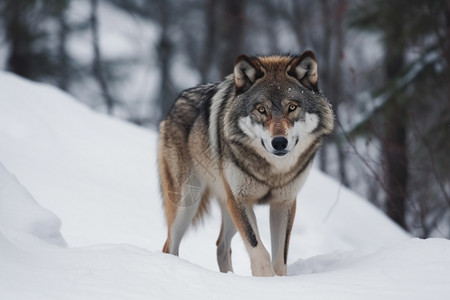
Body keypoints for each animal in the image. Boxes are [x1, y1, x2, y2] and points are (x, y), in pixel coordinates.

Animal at [158, 49, 334, 276]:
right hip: (189, 202)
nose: (279, 142)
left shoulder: (283, 203)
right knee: (169, 245)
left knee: (221, 246)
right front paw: (266, 279)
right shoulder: (240, 200)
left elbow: (280, 258)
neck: (273, 172)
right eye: (261, 110)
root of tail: (176, 102)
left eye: (292, 107)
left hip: (227, 208)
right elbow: (259, 250)